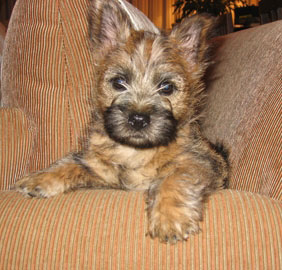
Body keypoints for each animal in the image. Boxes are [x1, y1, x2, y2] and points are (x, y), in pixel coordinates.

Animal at [15, 0, 229, 244]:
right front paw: (40, 178)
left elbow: (175, 177)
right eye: (119, 82)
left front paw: (170, 218)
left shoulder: (199, 161)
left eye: (167, 87)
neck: (135, 151)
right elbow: (73, 163)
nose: (138, 119)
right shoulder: (102, 173)